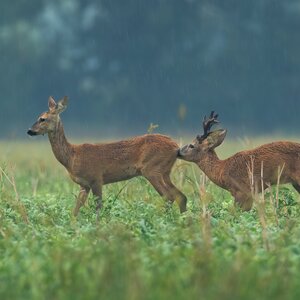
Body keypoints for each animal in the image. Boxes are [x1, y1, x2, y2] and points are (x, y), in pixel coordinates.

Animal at [28, 96, 188, 216]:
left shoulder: (96, 178)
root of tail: (175, 147)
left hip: (152, 169)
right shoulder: (84, 185)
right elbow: (75, 210)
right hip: (165, 171)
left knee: (169, 196)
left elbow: (98, 207)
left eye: (42, 118)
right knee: (181, 196)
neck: (71, 157)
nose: (29, 130)